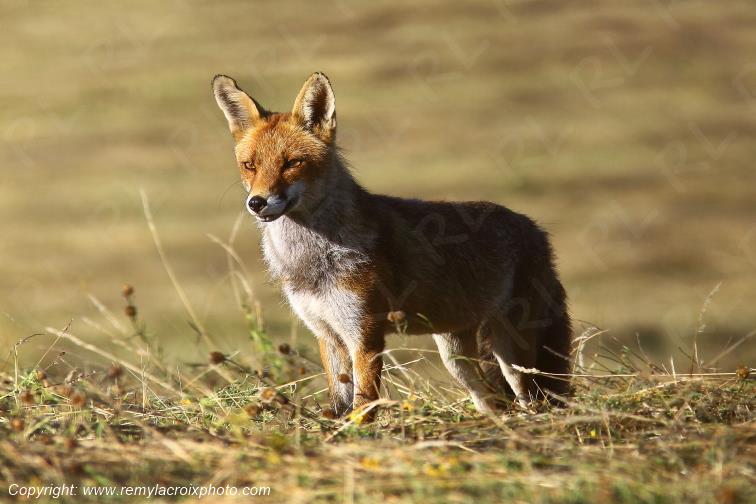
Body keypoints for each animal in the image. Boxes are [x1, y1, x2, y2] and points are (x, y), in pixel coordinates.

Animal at [212, 72, 572, 419]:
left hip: (514, 355)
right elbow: (339, 404)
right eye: (250, 165)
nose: (257, 203)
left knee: (532, 398)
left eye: (292, 163)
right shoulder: (327, 335)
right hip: (457, 357)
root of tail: (535, 229)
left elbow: (363, 408)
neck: (313, 259)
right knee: (495, 401)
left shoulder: (365, 335)